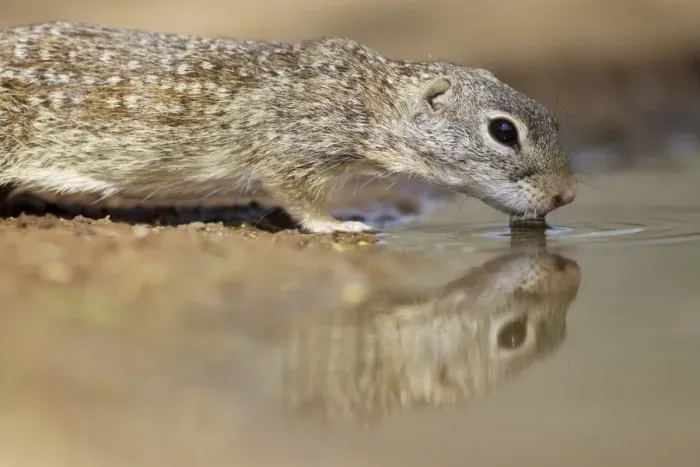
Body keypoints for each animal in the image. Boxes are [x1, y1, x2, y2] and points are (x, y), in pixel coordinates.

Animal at [0, 21, 577, 234]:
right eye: (504, 131)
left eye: (552, 118)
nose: (568, 195)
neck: (369, 96)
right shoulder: (295, 151)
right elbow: (300, 199)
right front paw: (339, 225)